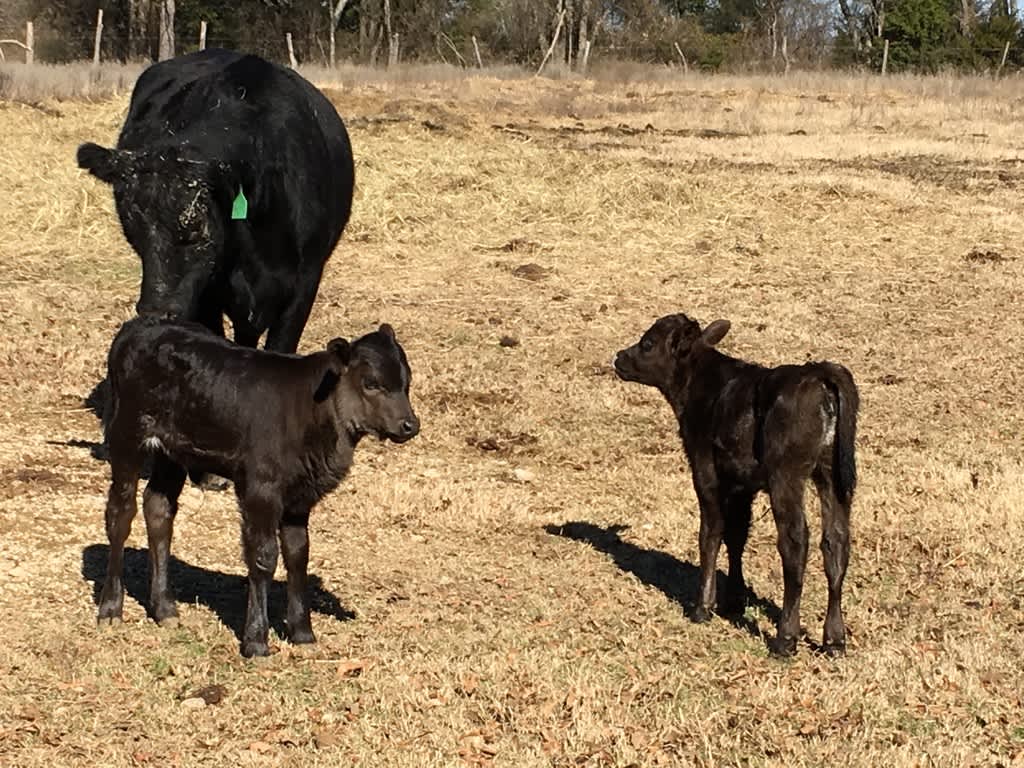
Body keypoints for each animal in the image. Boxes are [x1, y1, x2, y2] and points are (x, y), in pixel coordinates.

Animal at [96, 315, 415, 659]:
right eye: (371, 383)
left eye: (407, 382)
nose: (410, 425)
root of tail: (139, 324)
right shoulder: (260, 488)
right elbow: (263, 556)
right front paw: (257, 641)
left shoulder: (300, 497)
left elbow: (298, 555)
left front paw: (303, 634)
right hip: (127, 434)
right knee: (120, 513)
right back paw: (110, 609)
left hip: (172, 453)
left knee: (158, 508)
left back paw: (165, 609)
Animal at [614, 315, 856, 659]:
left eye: (647, 343)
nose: (619, 357)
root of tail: (819, 373)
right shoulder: (742, 485)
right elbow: (737, 534)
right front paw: (734, 600)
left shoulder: (706, 472)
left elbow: (711, 532)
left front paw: (703, 607)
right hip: (833, 477)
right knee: (836, 542)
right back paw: (834, 640)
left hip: (786, 476)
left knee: (795, 543)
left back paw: (785, 638)